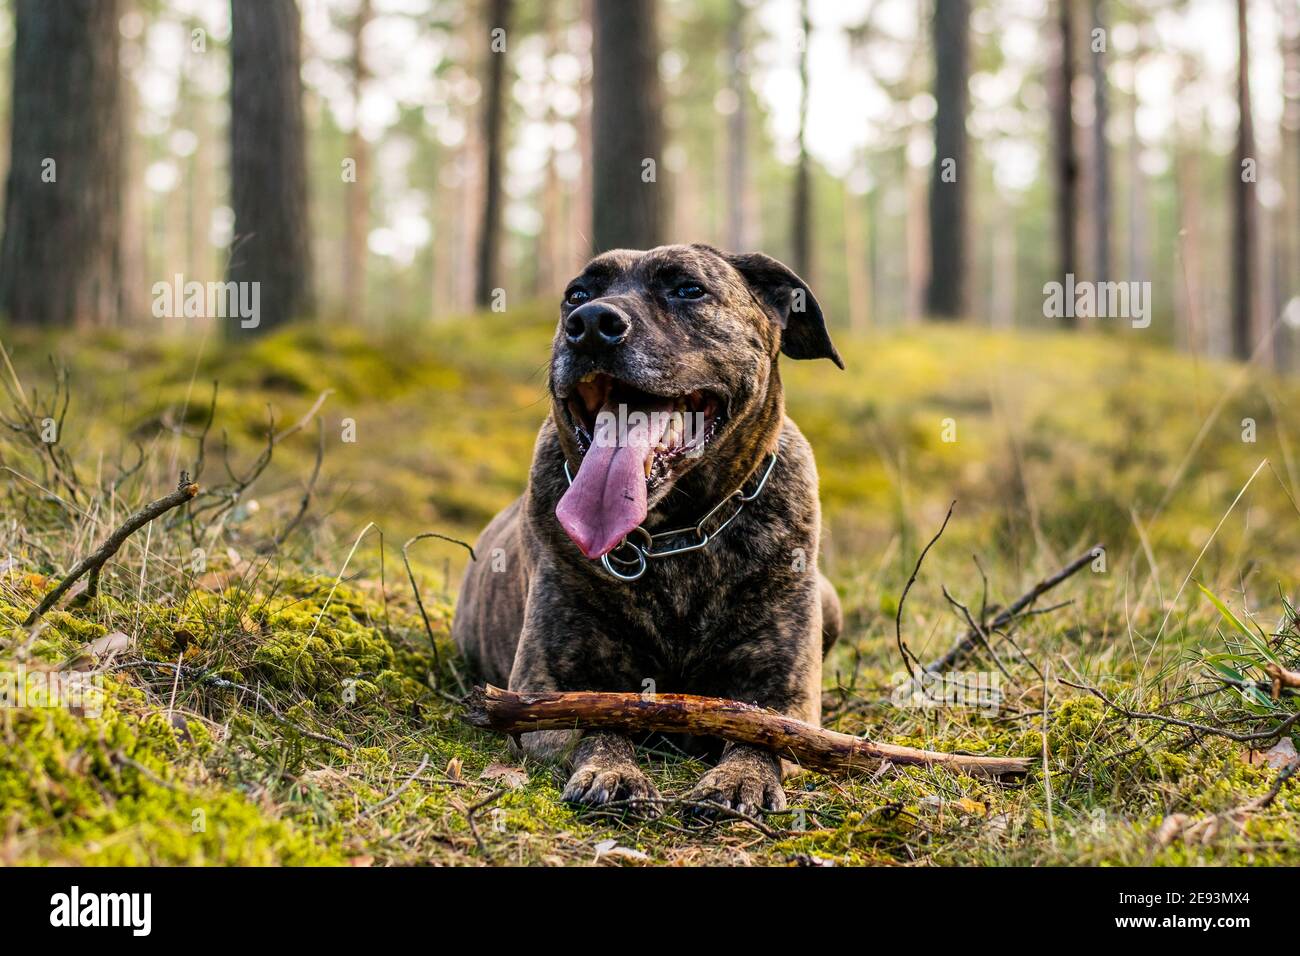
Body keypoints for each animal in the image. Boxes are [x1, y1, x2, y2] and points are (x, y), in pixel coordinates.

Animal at [454, 244, 842, 816]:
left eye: (688, 289)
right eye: (577, 294)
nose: (591, 324)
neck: (672, 535)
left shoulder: (786, 692)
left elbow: (762, 734)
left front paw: (739, 779)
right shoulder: (545, 686)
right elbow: (599, 720)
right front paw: (613, 771)